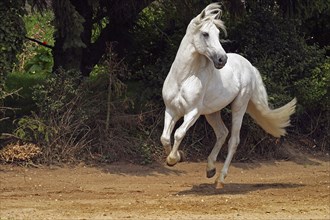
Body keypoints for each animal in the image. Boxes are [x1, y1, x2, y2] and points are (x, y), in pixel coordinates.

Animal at [160, 3, 296, 188]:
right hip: (212, 112)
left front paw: (174, 158)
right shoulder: (171, 110)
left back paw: (220, 179)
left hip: (239, 105)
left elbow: (179, 133)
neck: (184, 77)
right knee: (222, 133)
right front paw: (175, 158)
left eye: (218, 34)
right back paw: (210, 169)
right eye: (205, 33)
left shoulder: (193, 112)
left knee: (233, 140)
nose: (221, 60)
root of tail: (249, 66)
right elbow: (165, 138)